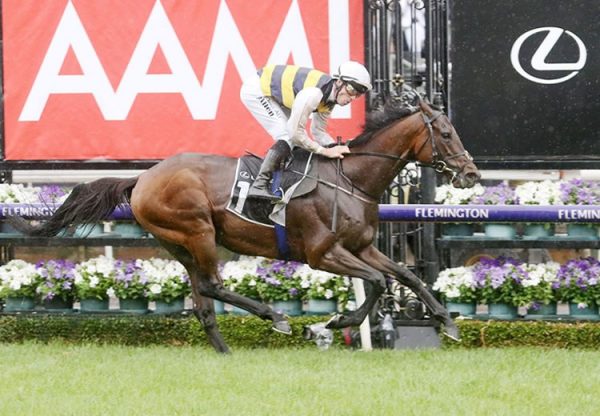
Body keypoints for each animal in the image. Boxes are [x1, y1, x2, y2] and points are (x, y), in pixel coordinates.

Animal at [9, 96, 480, 352]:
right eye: (446, 133)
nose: (472, 174)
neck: (350, 180)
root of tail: (141, 178)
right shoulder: (323, 254)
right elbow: (380, 282)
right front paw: (333, 323)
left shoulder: (361, 247)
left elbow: (405, 276)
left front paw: (448, 322)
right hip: (198, 230)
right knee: (213, 286)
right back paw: (276, 316)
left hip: (180, 244)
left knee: (203, 300)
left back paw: (226, 352)